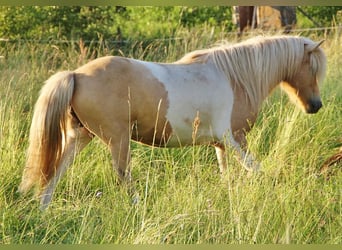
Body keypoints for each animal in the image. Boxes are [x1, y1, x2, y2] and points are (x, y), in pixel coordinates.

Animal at [18, 35, 326, 209]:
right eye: (311, 67)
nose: (315, 106)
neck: (235, 78)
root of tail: (77, 75)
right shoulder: (235, 138)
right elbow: (257, 170)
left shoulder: (221, 144)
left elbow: (227, 175)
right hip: (117, 140)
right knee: (122, 175)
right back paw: (138, 207)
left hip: (79, 137)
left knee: (56, 171)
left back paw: (43, 210)